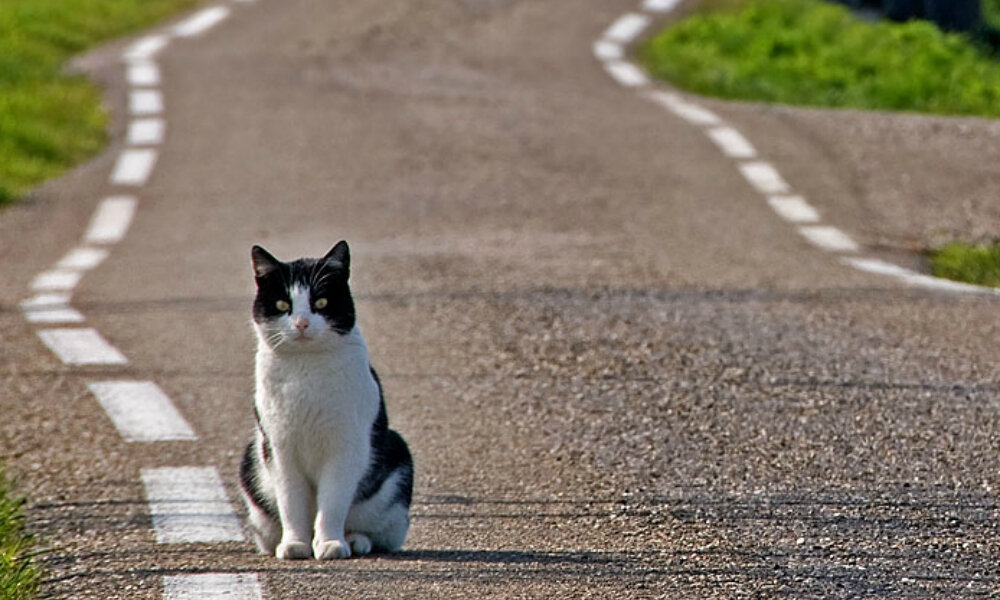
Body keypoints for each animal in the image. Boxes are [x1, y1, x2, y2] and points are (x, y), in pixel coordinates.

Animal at [236, 241, 412, 560]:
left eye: (320, 303)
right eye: (283, 305)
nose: (302, 322)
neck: (307, 367)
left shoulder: (345, 446)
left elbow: (333, 502)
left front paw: (330, 543)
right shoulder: (280, 448)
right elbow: (291, 502)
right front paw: (295, 544)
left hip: (397, 458)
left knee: (375, 530)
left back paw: (354, 541)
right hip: (251, 460)